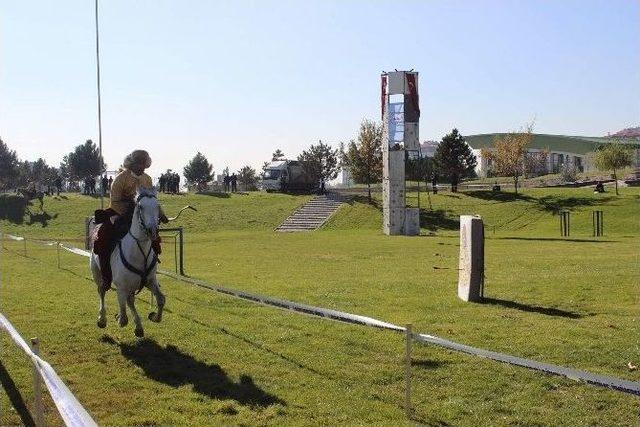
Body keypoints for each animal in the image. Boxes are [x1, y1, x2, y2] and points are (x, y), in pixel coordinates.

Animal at [89, 187, 165, 338]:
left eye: (157, 206)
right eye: (141, 207)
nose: (152, 230)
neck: (137, 253)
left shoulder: (150, 280)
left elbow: (160, 299)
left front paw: (154, 316)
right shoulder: (121, 287)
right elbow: (124, 317)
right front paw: (118, 318)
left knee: (130, 301)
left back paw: (138, 327)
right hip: (98, 275)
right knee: (102, 291)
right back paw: (102, 319)